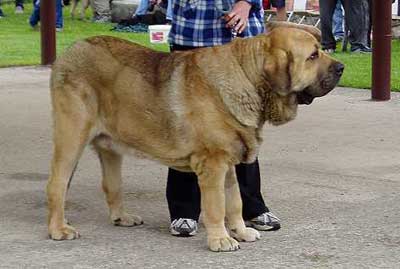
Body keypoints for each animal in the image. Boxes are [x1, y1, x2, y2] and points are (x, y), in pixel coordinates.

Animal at [47, 24, 344, 249]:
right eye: (313, 56)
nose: (341, 67)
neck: (249, 78)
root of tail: (70, 50)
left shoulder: (229, 164)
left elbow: (234, 202)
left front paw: (241, 232)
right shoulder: (212, 164)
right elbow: (216, 206)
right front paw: (221, 240)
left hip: (111, 148)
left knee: (112, 185)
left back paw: (122, 217)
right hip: (71, 137)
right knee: (57, 184)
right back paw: (59, 229)